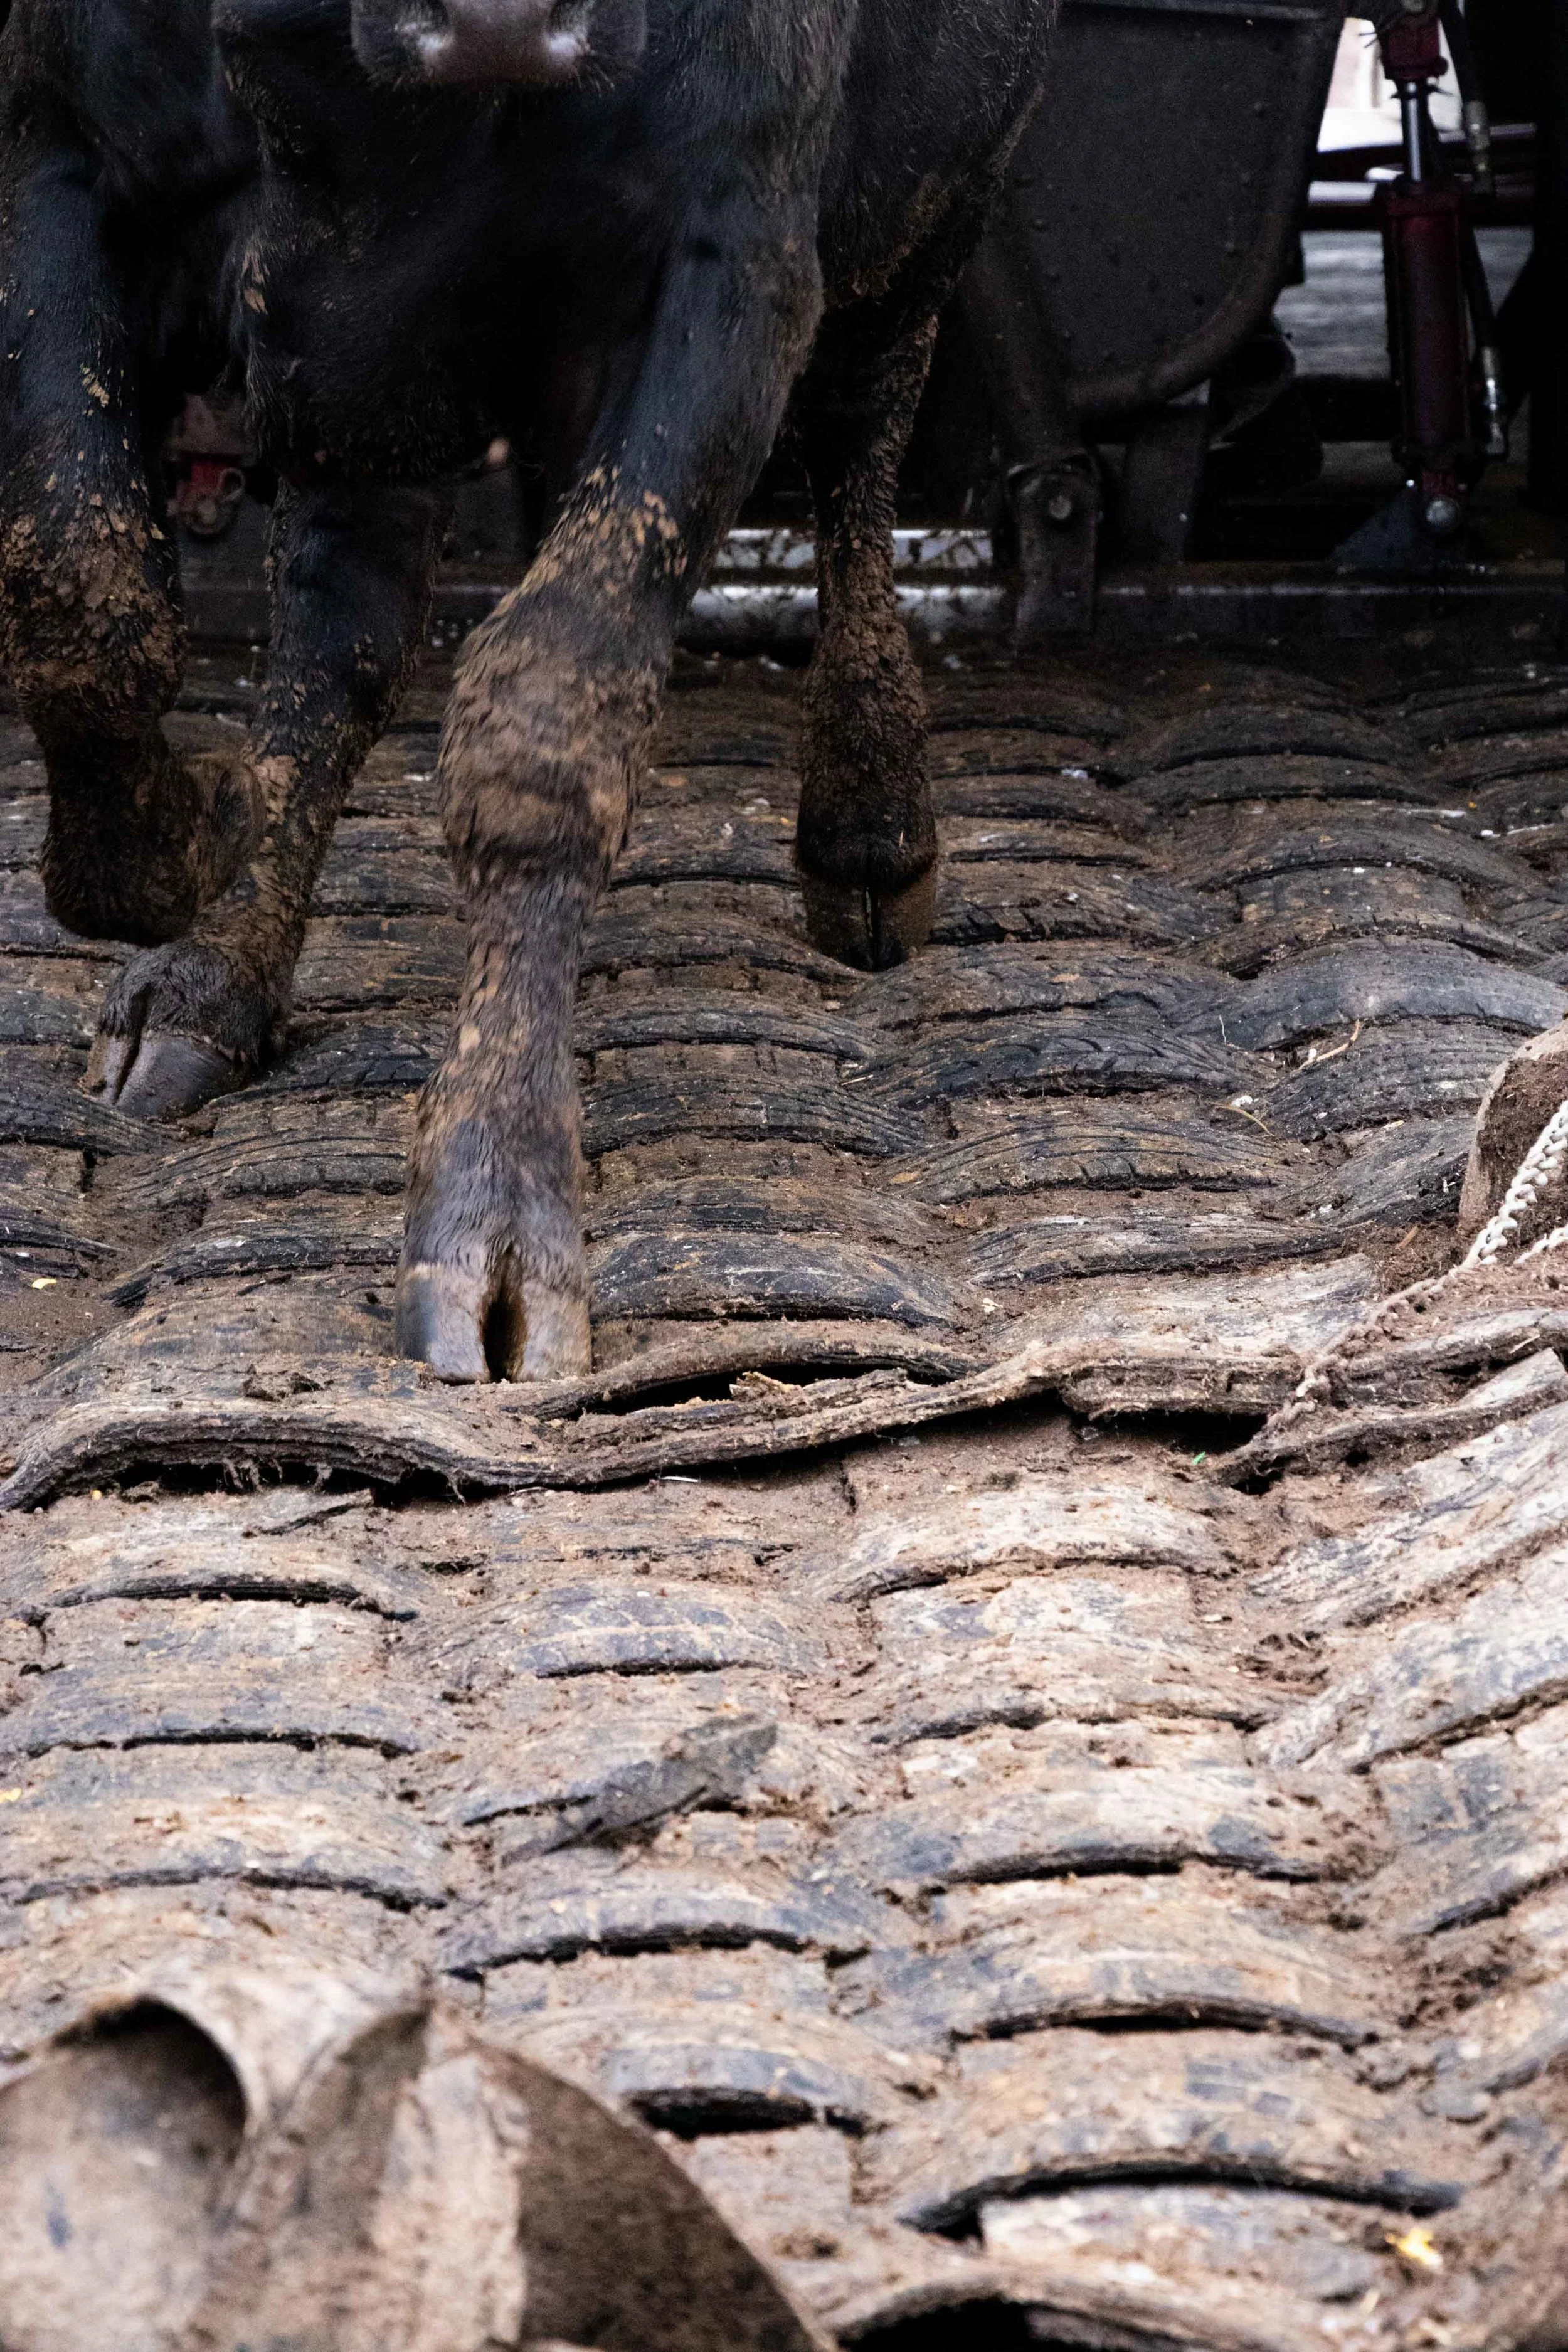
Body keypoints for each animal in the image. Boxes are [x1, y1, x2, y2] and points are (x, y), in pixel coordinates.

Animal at [0, 0, 1056, 1382]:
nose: (496, 21)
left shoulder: (730, 251)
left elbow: (551, 702)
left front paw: (495, 1205)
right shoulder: (60, 150)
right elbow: (79, 579)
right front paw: (196, 837)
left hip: (937, 201)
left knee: (859, 444)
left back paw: (869, 832)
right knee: (343, 622)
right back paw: (218, 975)